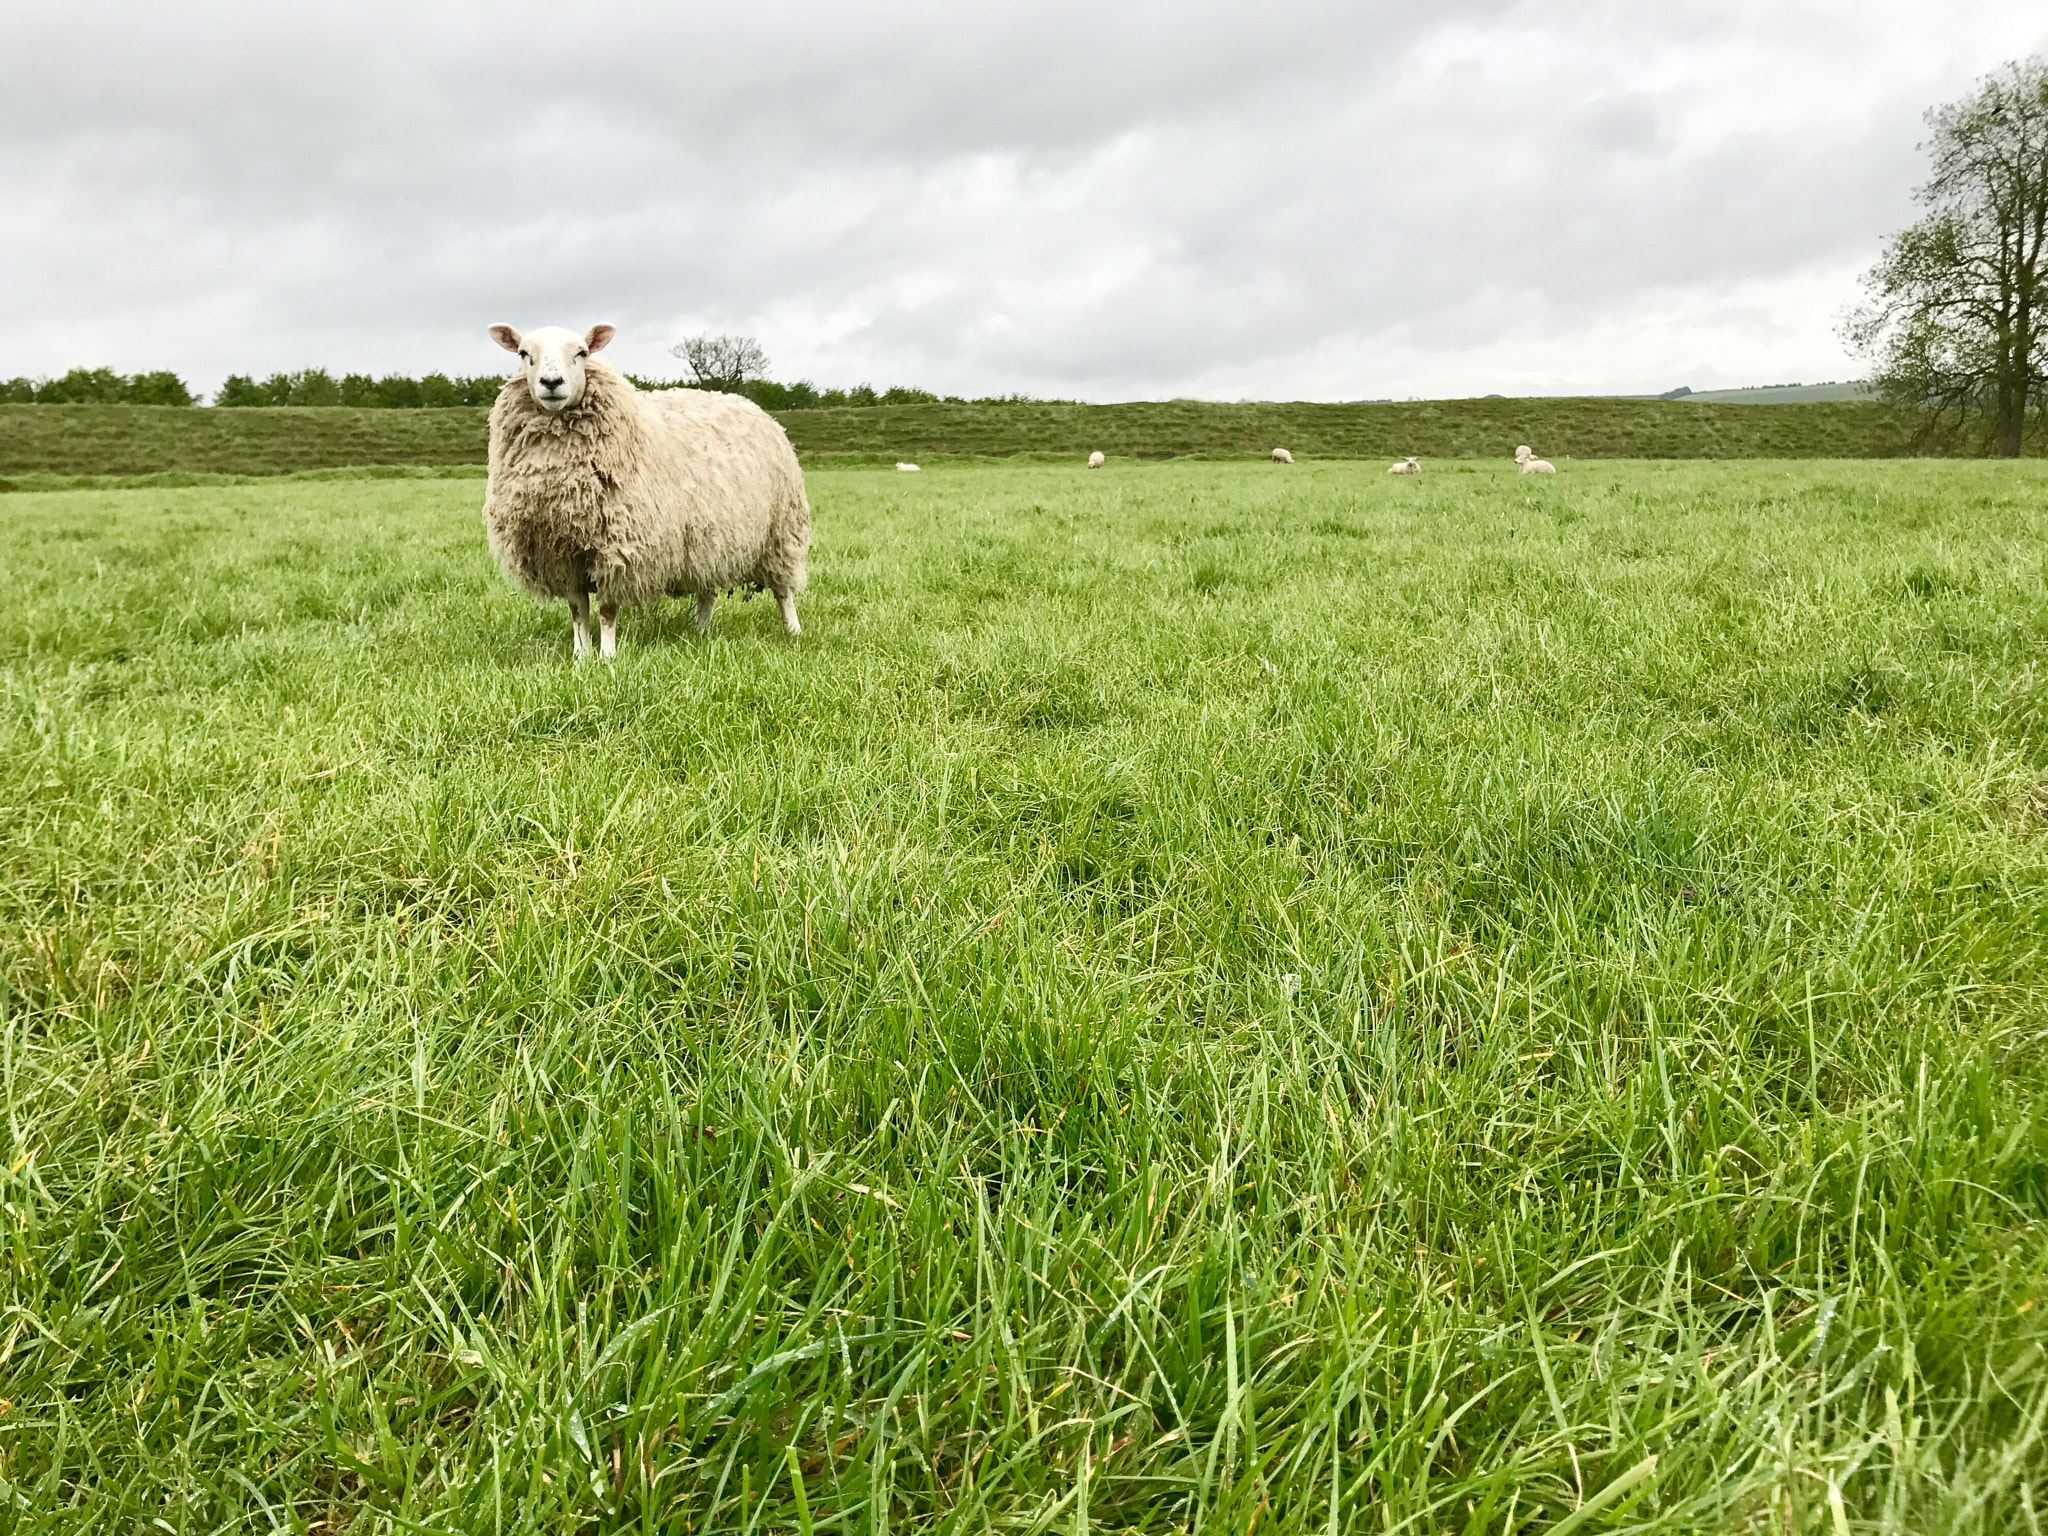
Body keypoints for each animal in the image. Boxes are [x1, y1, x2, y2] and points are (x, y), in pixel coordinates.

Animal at [482, 322, 810, 659]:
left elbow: (607, 610)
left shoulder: (617, 548)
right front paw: (580, 655)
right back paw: (700, 631)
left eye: (582, 353)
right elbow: (577, 610)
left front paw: (607, 656)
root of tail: (751, 406)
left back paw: (793, 630)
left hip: (781, 532)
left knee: (783, 591)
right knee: (707, 591)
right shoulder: (561, 555)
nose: (551, 382)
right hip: (709, 537)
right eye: (524, 353)